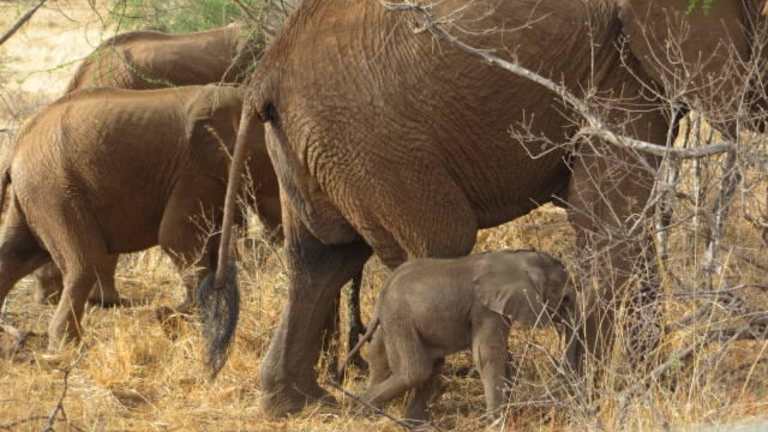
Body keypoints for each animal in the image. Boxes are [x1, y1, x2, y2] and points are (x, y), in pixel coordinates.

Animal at [0, 84, 274, 352]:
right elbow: (175, 238)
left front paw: (173, 319)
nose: (161, 311)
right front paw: (173, 320)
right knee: (85, 262)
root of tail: (16, 148)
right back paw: (67, 347)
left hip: (34, 195)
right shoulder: (195, 172)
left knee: (16, 255)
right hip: (53, 190)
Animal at [339, 250, 577, 423]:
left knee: (394, 360)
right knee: (416, 371)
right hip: (400, 318)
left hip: (393, 320)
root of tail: (383, 291)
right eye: (565, 299)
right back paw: (362, 408)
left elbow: (502, 355)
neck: (518, 259)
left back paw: (408, 422)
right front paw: (495, 421)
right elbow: (488, 355)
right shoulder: (484, 308)